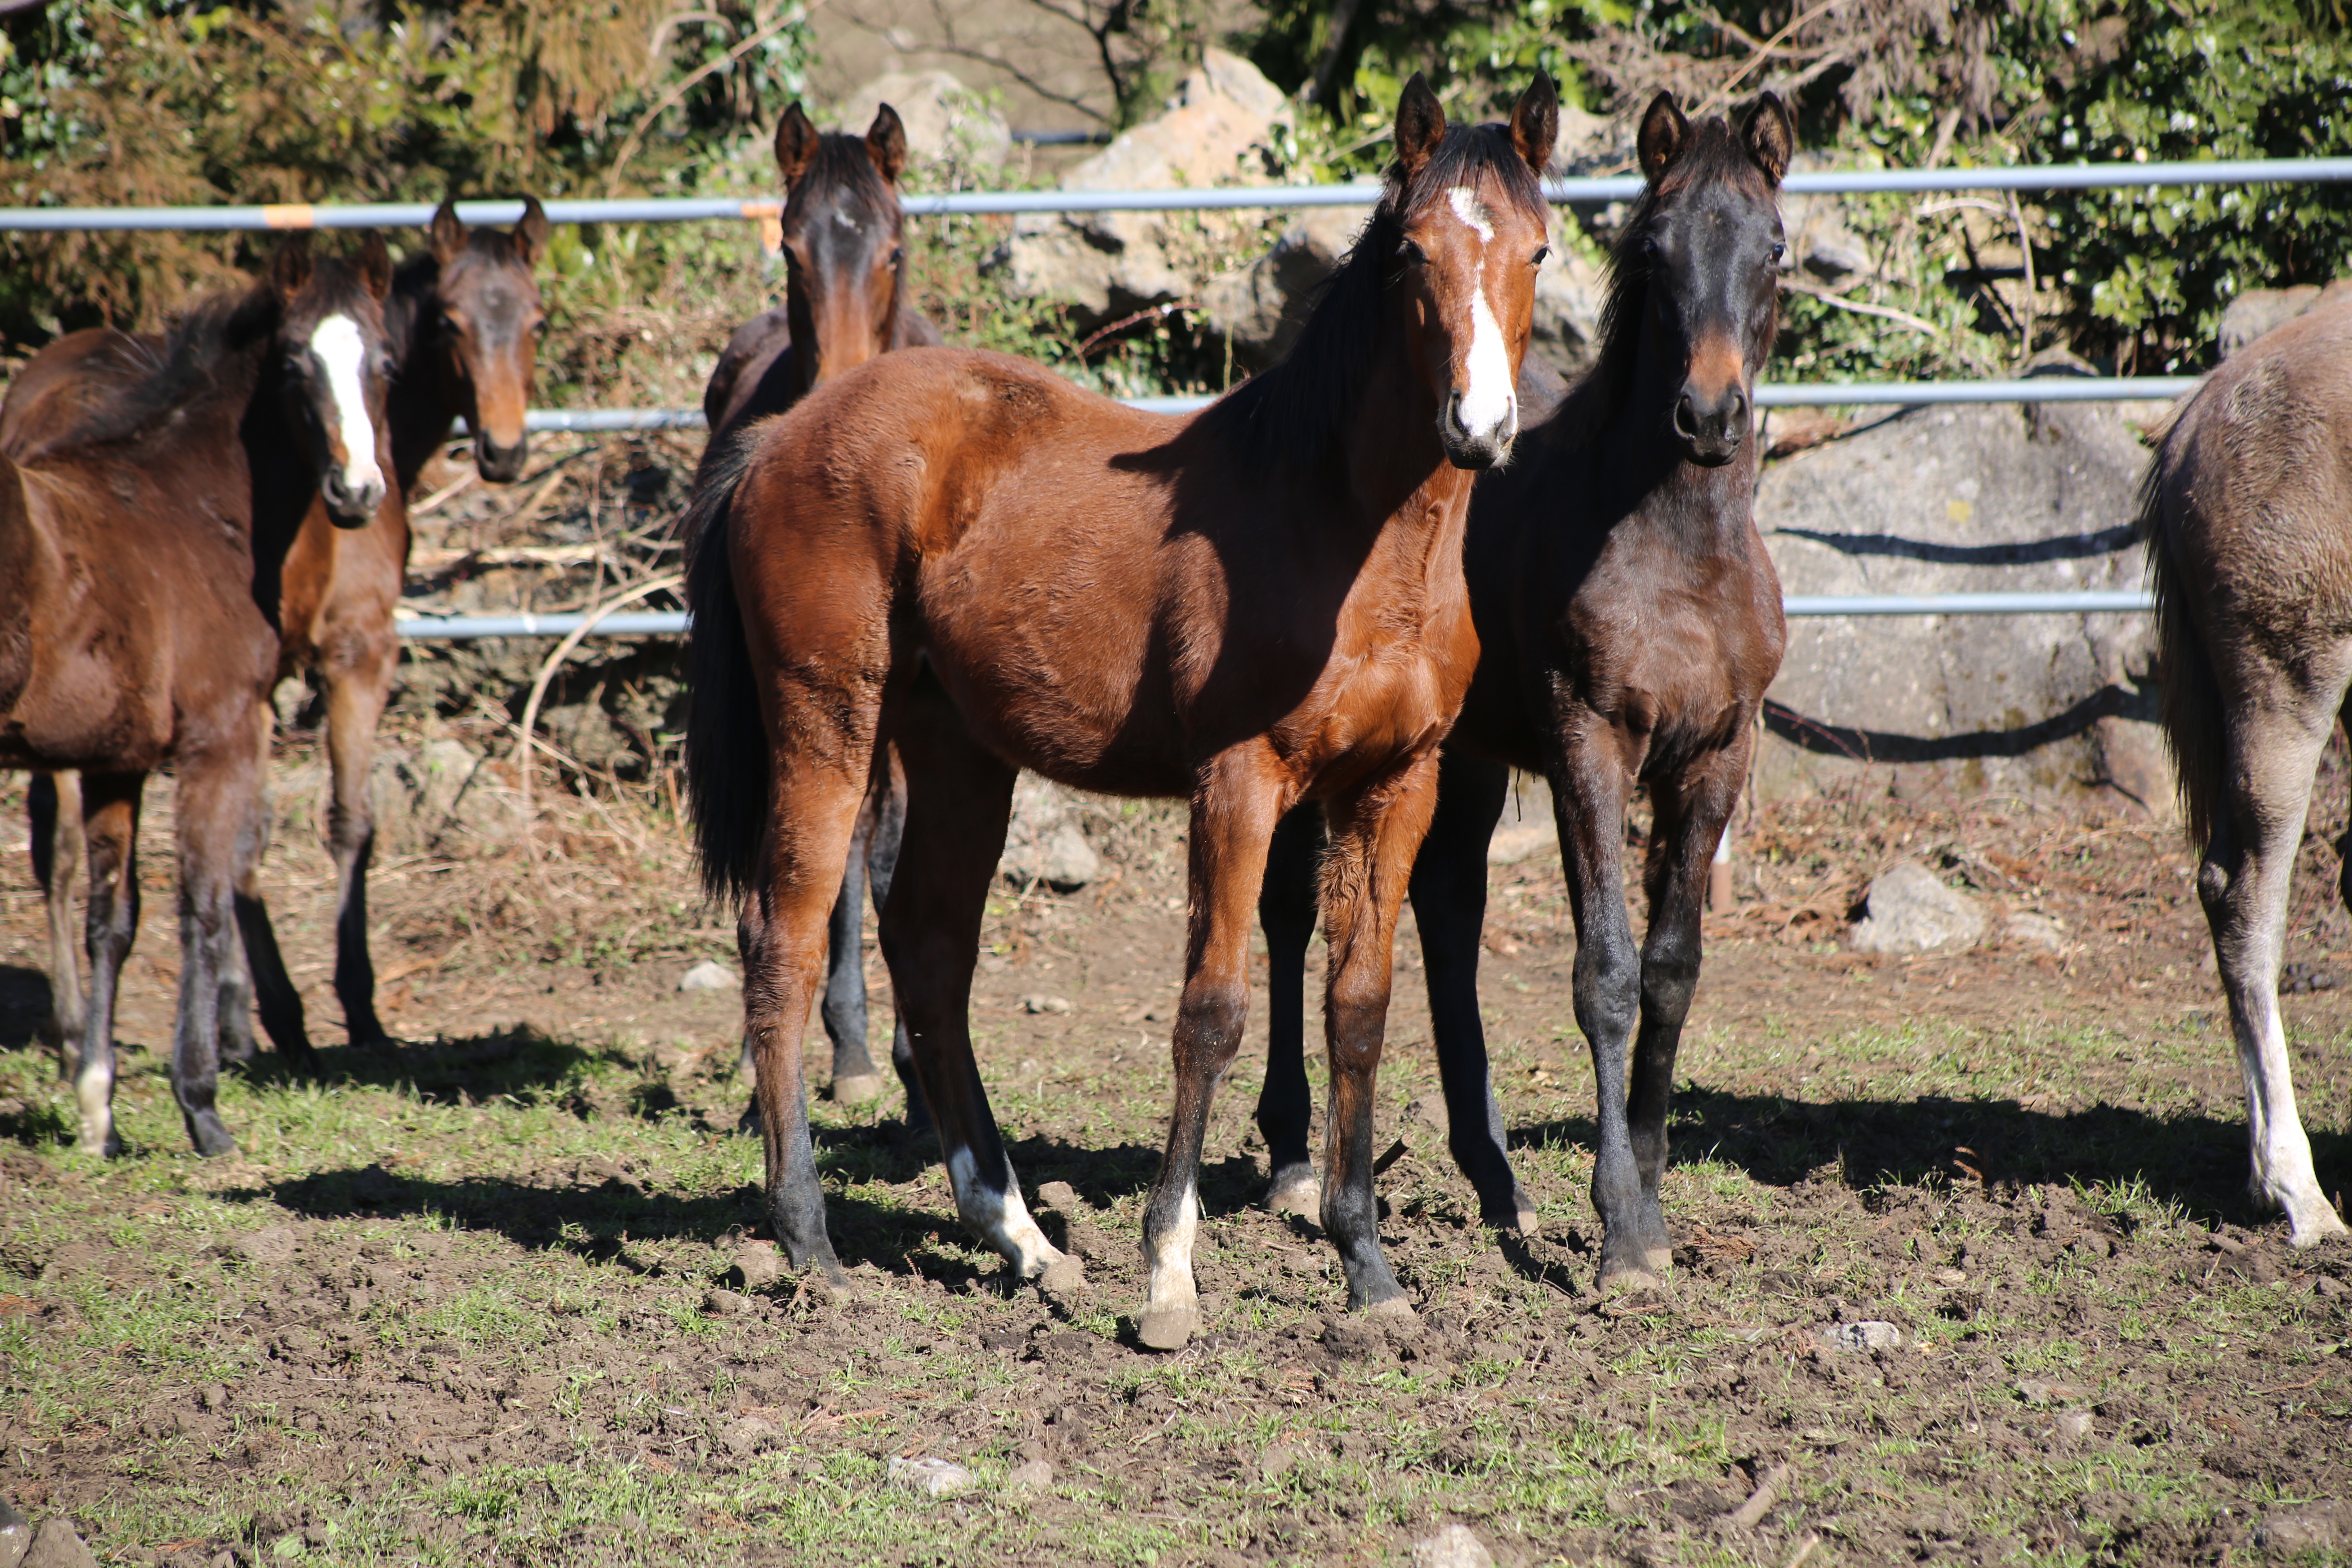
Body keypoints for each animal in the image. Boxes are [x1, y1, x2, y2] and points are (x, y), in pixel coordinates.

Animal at [2, 240, 397, 1161]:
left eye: (387, 361)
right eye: (294, 365)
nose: (356, 491)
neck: (187, 506)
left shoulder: (114, 762)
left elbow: (113, 920)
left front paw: (99, 1110)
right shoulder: (222, 737)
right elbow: (206, 904)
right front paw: (204, 1106)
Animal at [682, 76, 1561, 1354]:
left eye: (1538, 249)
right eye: (1412, 254)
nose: (1481, 427)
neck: (1344, 531)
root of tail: (780, 435)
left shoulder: (1397, 784)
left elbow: (1357, 1007)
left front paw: (1367, 1268)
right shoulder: (1238, 781)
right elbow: (1213, 1010)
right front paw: (1169, 1279)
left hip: (957, 752)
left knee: (930, 951)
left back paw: (1021, 1239)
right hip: (828, 726)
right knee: (784, 942)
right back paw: (808, 1241)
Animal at [1261, 95, 1787, 1288]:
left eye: (1774, 249)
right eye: (1654, 249)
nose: (1707, 417)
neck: (1678, 554)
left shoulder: (1719, 752)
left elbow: (1672, 970)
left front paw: (1648, 1182)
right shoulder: (1586, 741)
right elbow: (1605, 973)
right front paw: (1624, 1229)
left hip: (1461, 753)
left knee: (1448, 909)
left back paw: (1495, 1178)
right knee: (1284, 913)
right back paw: (1292, 1158)